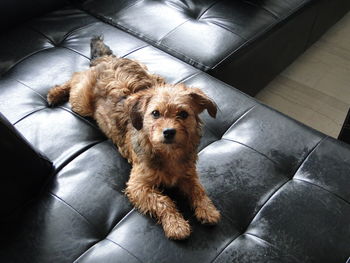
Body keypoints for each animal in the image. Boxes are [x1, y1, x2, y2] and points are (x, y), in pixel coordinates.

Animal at [47, 37, 220, 241]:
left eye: (183, 114)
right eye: (155, 113)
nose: (168, 132)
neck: (168, 154)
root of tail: (107, 59)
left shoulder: (188, 174)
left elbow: (198, 190)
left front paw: (207, 210)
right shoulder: (138, 186)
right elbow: (163, 201)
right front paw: (176, 225)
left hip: (150, 76)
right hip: (80, 101)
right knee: (75, 77)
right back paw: (55, 93)